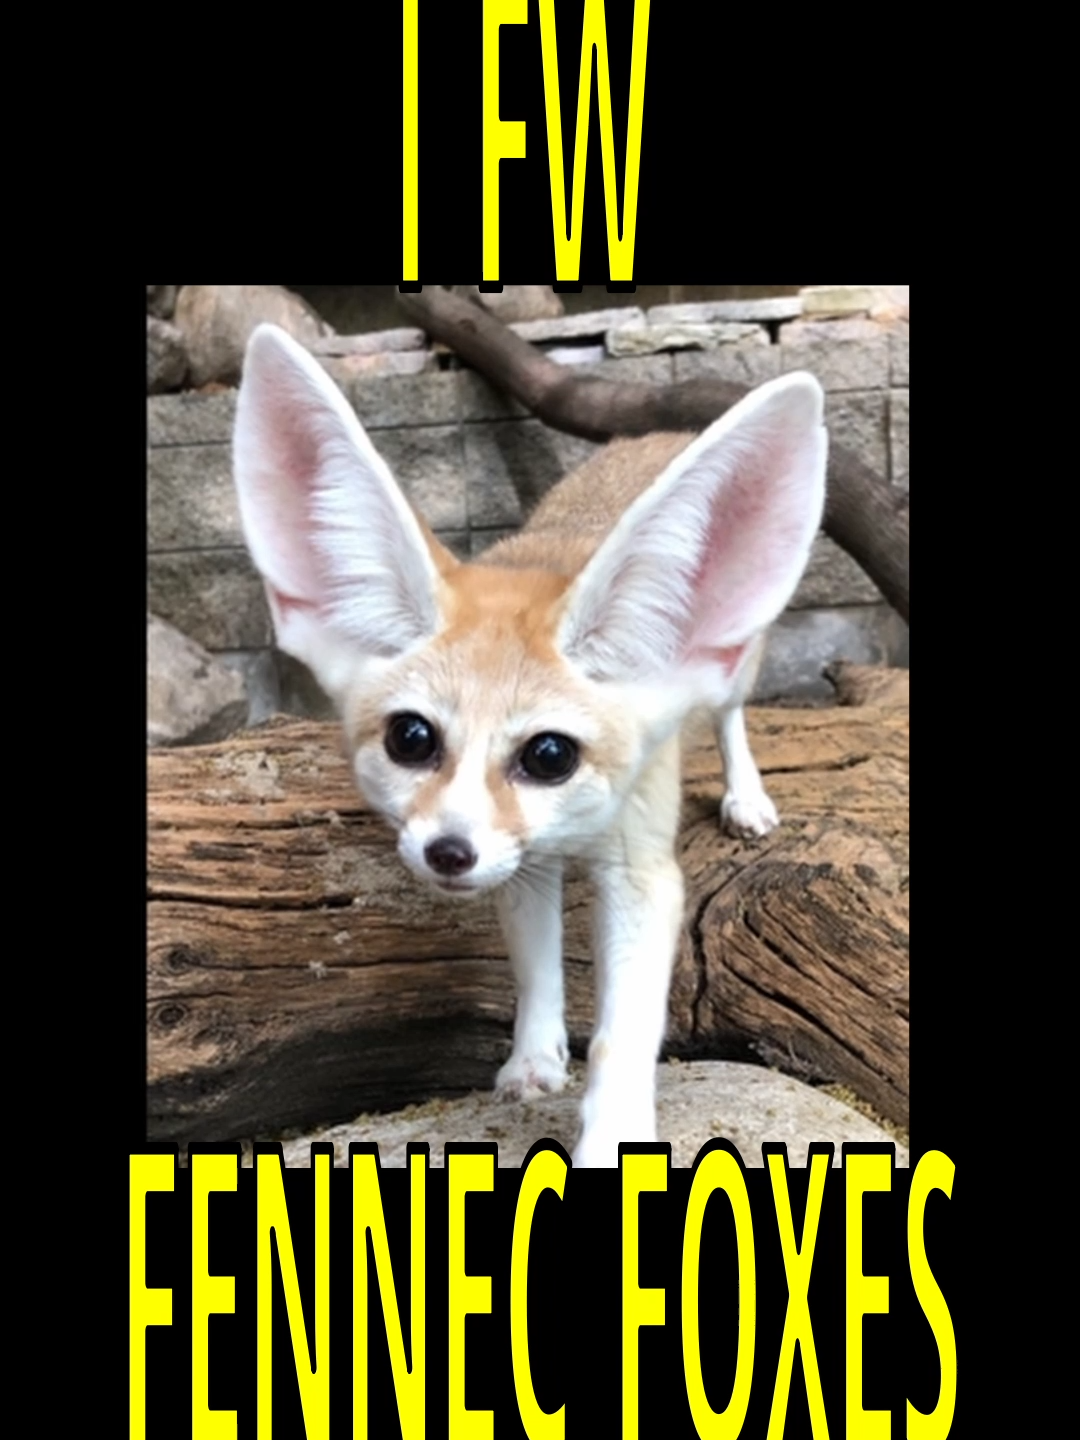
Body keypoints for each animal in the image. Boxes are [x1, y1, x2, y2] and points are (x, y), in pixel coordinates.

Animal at [233, 323, 828, 1167]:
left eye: (551, 756)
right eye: (411, 738)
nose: (449, 853)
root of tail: (657, 433)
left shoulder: (641, 870)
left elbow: (622, 1035)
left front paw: (610, 1139)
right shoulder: (522, 864)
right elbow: (534, 966)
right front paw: (535, 1058)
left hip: (732, 670)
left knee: (730, 716)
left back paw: (747, 796)